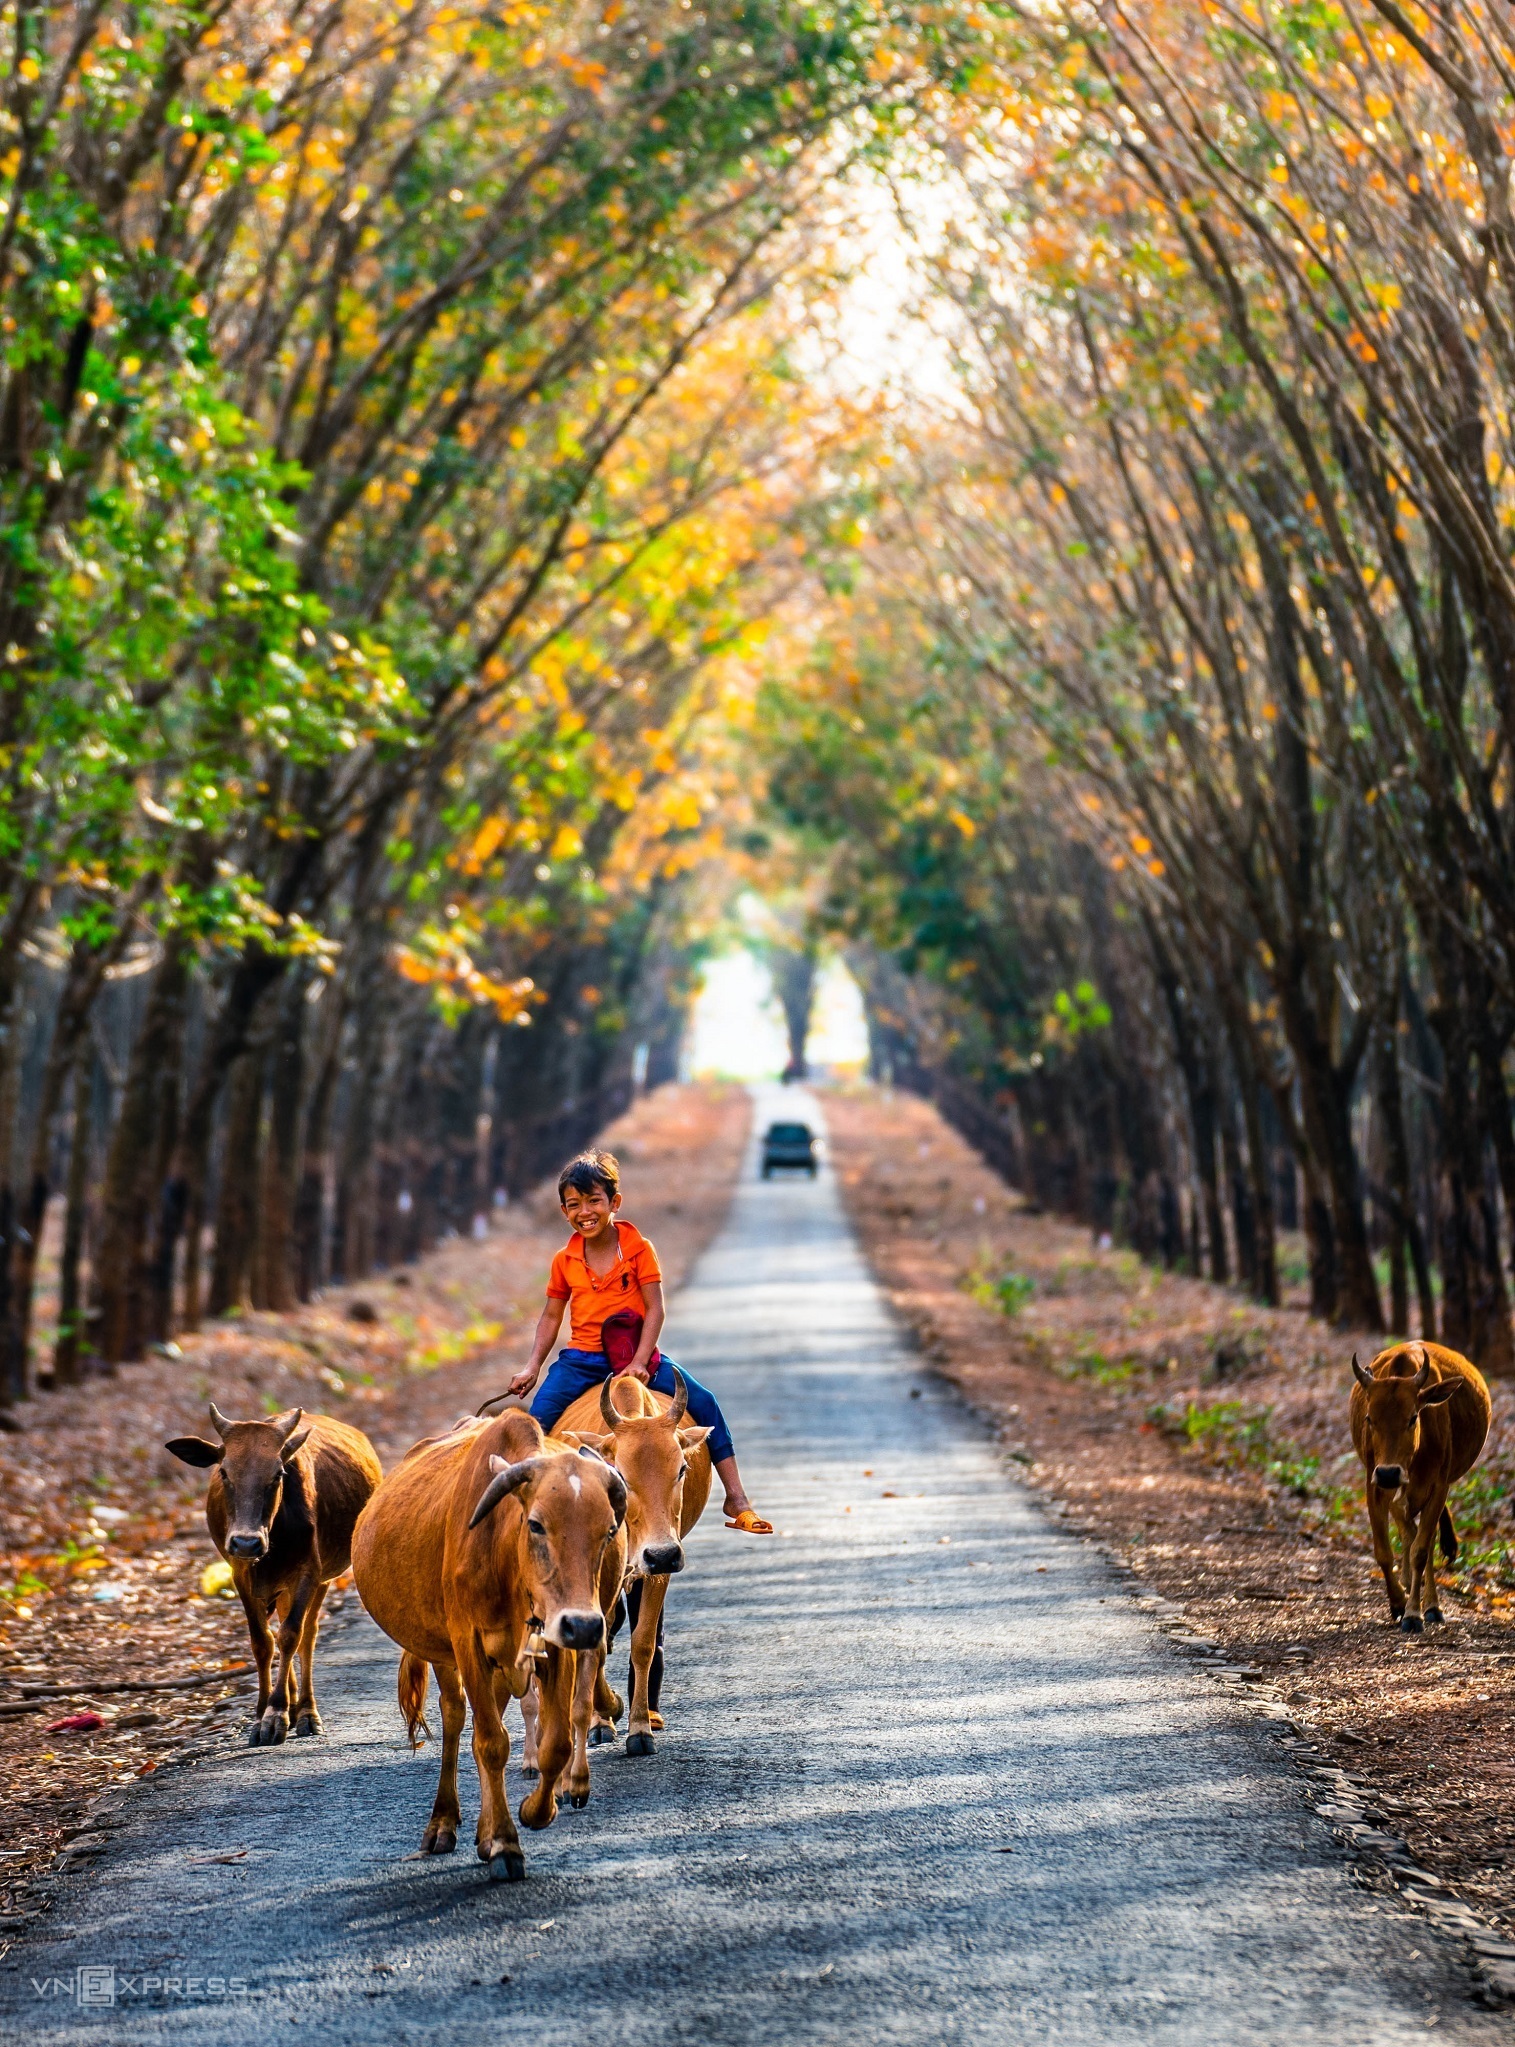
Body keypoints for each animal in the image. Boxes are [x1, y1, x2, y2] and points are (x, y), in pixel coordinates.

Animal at [161, 1408, 378, 1744]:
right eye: (224, 1472)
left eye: (278, 1473)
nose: (247, 1542)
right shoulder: (241, 1574)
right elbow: (262, 1641)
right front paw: (263, 1712)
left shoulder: (309, 1572)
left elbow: (291, 1635)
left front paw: (276, 1714)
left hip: (322, 1579)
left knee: (307, 1635)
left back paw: (305, 1711)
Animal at [352, 1416, 622, 1875]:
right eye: (536, 1524)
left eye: (607, 1530)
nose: (585, 1626)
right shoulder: (468, 1645)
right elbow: (492, 1744)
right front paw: (504, 1844)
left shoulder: (556, 1645)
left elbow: (556, 1743)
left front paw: (534, 1811)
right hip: (444, 1654)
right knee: (457, 1718)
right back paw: (443, 1824)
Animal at [560, 1367, 712, 1752]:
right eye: (622, 1474)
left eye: (682, 1469)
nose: (663, 1554)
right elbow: (595, 1642)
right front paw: (604, 1716)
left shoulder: (658, 1570)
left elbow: (643, 1642)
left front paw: (640, 1728)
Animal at [1351, 1342, 1490, 1629]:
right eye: (1369, 1419)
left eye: (1413, 1417)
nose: (1389, 1473)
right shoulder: (1375, 1484)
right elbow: (1383, 1551)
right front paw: (1398, 1603)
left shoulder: (1439, 1487)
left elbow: (1421, 1551)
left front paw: (1414, 1613)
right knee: (1408, 1531)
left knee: (1423, 1539)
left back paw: (1432, 1605)